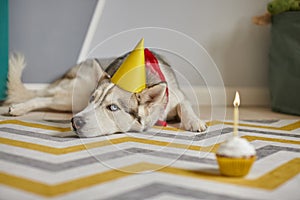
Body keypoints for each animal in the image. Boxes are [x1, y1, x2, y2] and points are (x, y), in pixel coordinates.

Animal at [5, 52, 206, 138]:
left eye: (113, 107)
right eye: (93, 99)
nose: (74, 122)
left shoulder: (177, 96)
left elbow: (184, 105)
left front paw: (194, 121)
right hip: (74, 97)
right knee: (42, 97)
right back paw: (17, 108)